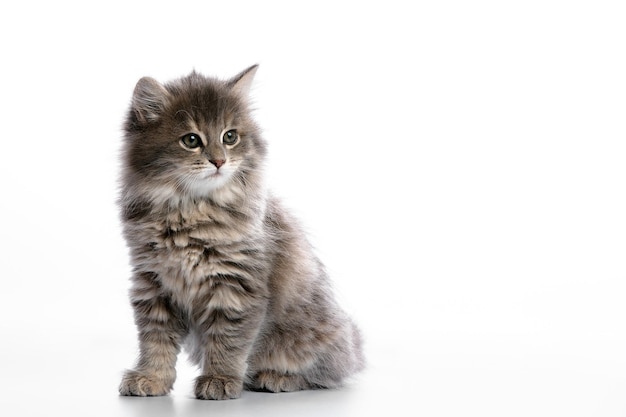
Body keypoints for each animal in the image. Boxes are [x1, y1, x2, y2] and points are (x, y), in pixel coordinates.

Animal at [117, 66, 364, 400]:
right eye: (191, 140)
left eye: (230, 137)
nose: (219, 160)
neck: (189, 212)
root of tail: (354, 345)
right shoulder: (153, 283)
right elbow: (156, 342)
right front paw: (151, 378)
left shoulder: (235, 285)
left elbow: (228, 341)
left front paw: (219, 379)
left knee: (326, 374)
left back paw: (275, 377)